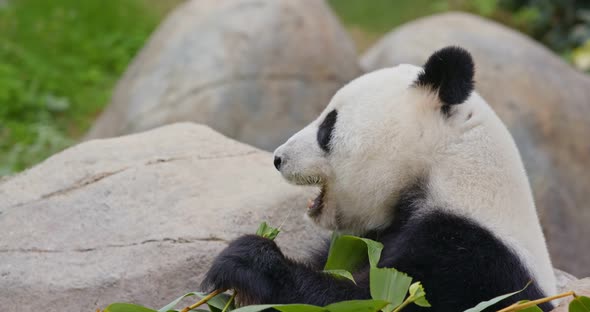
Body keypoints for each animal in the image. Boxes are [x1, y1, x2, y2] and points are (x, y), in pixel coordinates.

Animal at [204, 47, 560, 312]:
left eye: (328, 127)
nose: (278, 158)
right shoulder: (370, 237)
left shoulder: (473, 262)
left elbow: (371, 299)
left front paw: (244, 260)